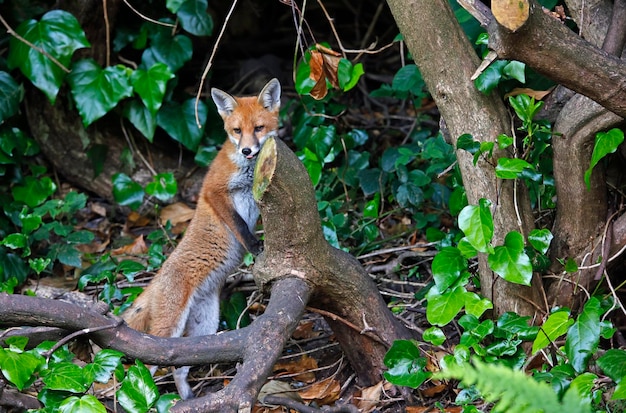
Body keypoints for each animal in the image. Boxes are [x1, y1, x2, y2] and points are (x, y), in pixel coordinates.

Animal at [124, 78, 280, 400]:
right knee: (147, 364)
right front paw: (253, 246)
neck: (246, 170)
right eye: (237, 130)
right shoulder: (213, 192)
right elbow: (239, 225)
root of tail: (156, 279)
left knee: (179, 366)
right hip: (169, 329)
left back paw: (185, 399)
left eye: (259, 128)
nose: (248, 150)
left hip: (204, 326)